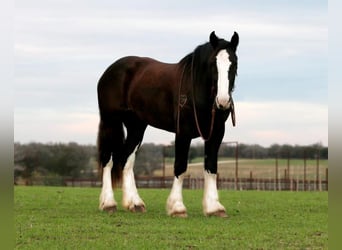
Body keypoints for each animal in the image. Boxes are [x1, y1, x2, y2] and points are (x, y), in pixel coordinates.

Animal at [97, 30, 239, 217]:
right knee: (108, 159)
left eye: (234, 64)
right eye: (212, 64)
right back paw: (108, 203)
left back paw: (134, 203)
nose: (222, 101)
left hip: (136, 126)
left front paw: (214, 207)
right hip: (110, 121)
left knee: (126, 159)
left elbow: (211, 167)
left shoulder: (216, 133)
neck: (194, 88)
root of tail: (109, 71)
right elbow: (180, 166)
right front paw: (177, 207)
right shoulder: (183, 132)